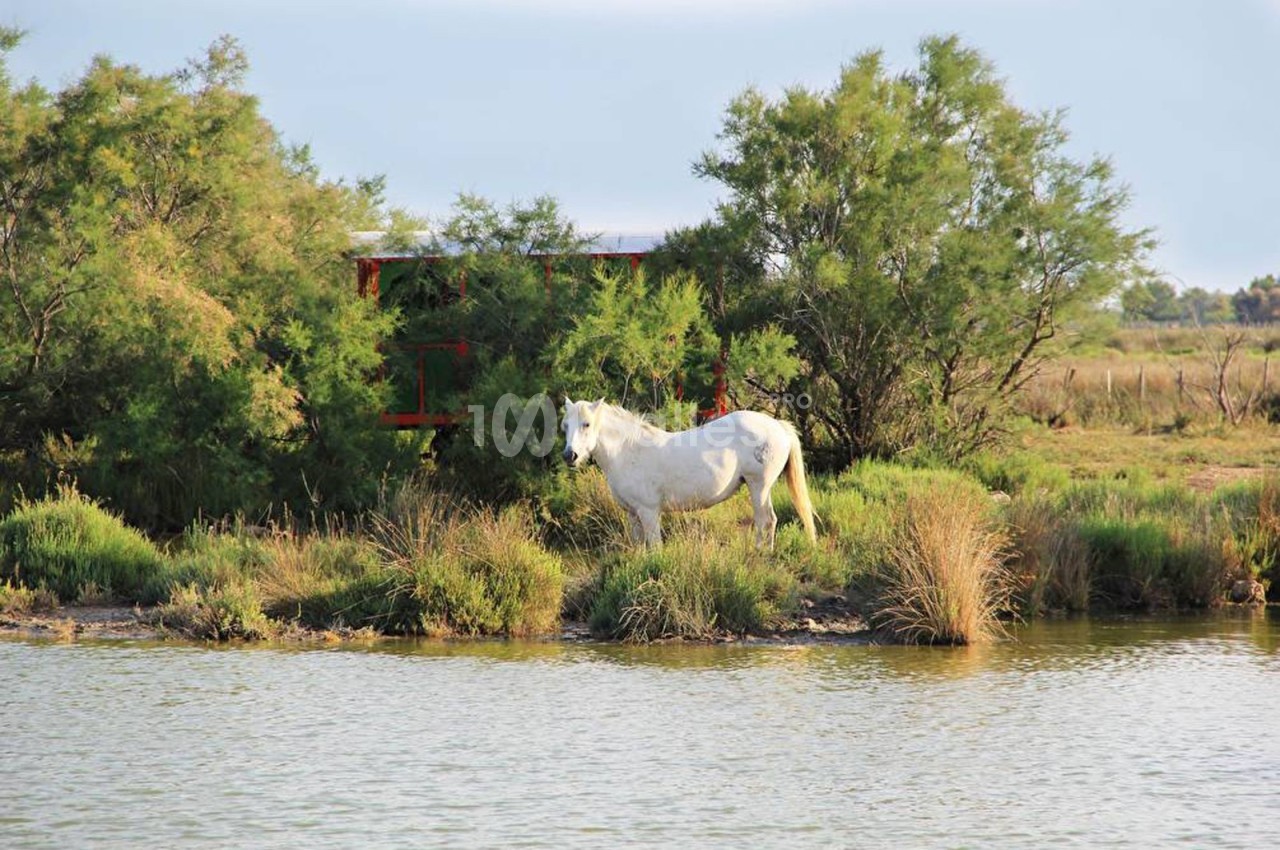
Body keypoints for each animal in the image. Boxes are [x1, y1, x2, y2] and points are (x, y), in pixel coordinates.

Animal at [560, 398, 817, 548]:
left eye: (586, 424)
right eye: (565, 425)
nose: (569, 455)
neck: (629, 449)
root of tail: (778, 425)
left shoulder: (649, 512)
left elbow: (655, 547)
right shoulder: (632, 515)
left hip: (759, 486)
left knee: (766, 521)